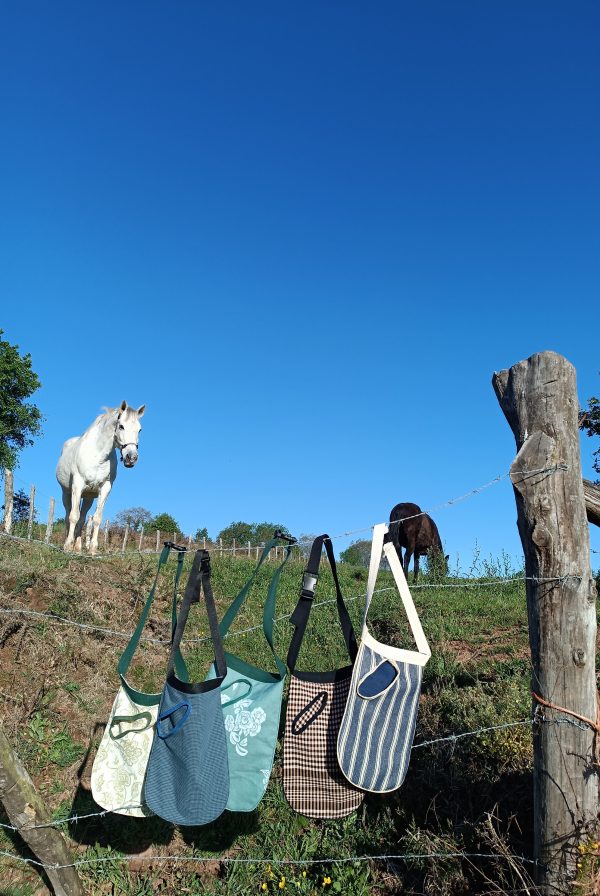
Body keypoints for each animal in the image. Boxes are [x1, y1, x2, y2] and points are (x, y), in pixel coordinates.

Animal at [56, 400, 145, 552]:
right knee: (68, 514)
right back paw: (68, 541)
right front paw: (67, 546)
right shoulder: (77, 485)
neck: (98, 456)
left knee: (83, 518)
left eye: (139, 429)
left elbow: (97, 518)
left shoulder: (105, 488)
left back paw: (78, 547)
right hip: (66, 493)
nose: (131, 458)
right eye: (121, 426)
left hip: (88, 497)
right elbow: (73, 516)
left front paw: (92, 548)